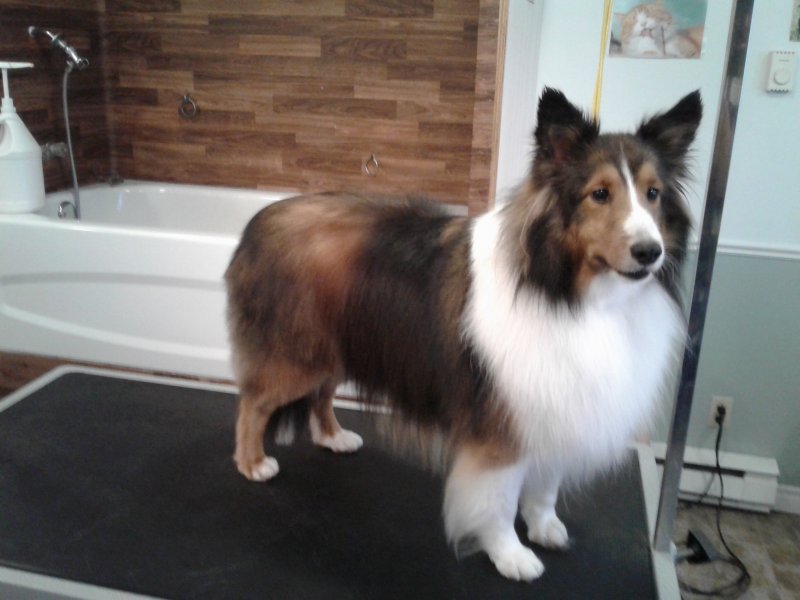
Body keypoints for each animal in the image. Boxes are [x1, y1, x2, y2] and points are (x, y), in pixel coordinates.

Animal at [224, 88, 702, 581]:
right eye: (600, 194)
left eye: (653, 193)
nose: (649, 252)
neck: (569, 295)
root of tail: (257, 221)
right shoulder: (501, 427)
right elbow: (499, 501)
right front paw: (510, 554)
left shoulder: (557, 405)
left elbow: (545, 488)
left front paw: (544, 527)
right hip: (295, 356)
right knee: (252, 405)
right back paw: (253, 463)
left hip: (338, 345)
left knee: (320, 396)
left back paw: (334, 438)